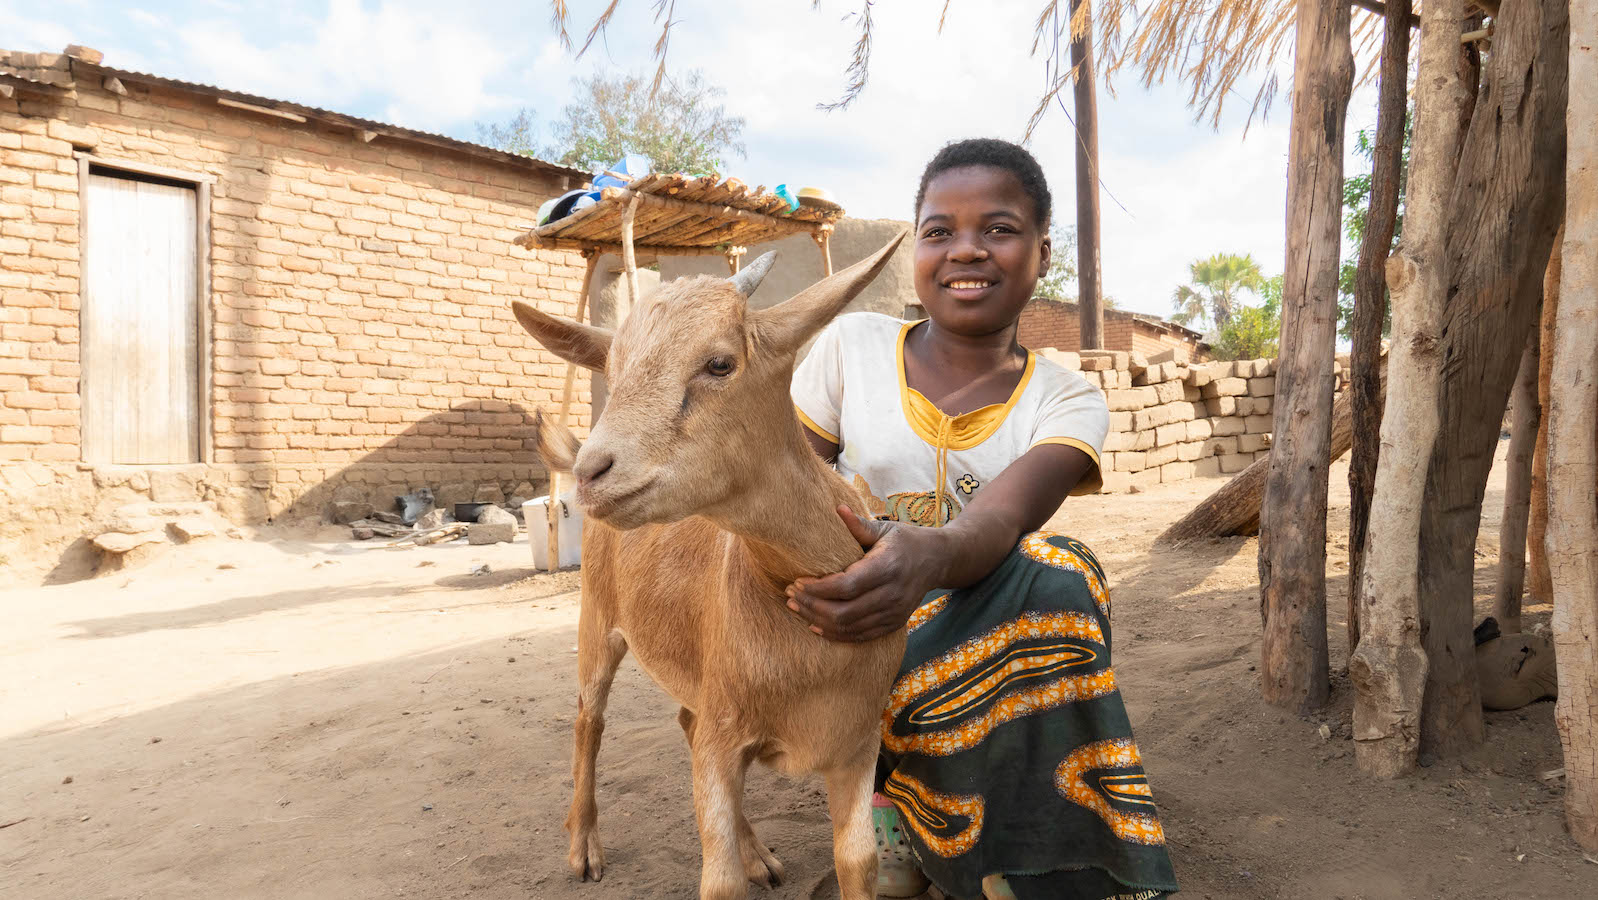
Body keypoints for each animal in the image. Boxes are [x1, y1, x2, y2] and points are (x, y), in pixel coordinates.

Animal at [514, 234, 914, 900]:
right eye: (612, 373)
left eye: (720, 364)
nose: (596, 471)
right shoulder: (724, 741)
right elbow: (719, 885)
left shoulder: (855, 744)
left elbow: (858, 862)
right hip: (596, 617)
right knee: (588, 719)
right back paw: (584, 846)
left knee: (682, 717)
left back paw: (757, 853)